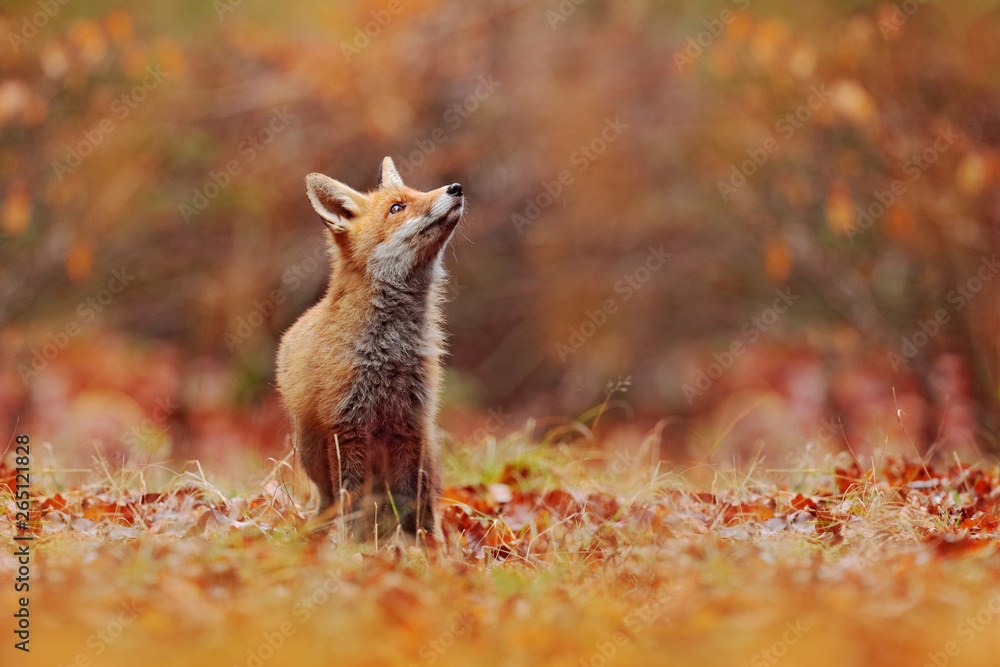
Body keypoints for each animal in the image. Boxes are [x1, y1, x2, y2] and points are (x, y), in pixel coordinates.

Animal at [276, 156, 464, 542]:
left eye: (417, 192)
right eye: (397, 208)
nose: (456, 188)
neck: (389, 353)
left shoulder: (410, 424)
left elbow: (412, 503)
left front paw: (418, 549)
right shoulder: (346, 428)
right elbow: (352, 503)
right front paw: (352, 548)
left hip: (428, 450)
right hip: (311, 452)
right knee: (332, 500)